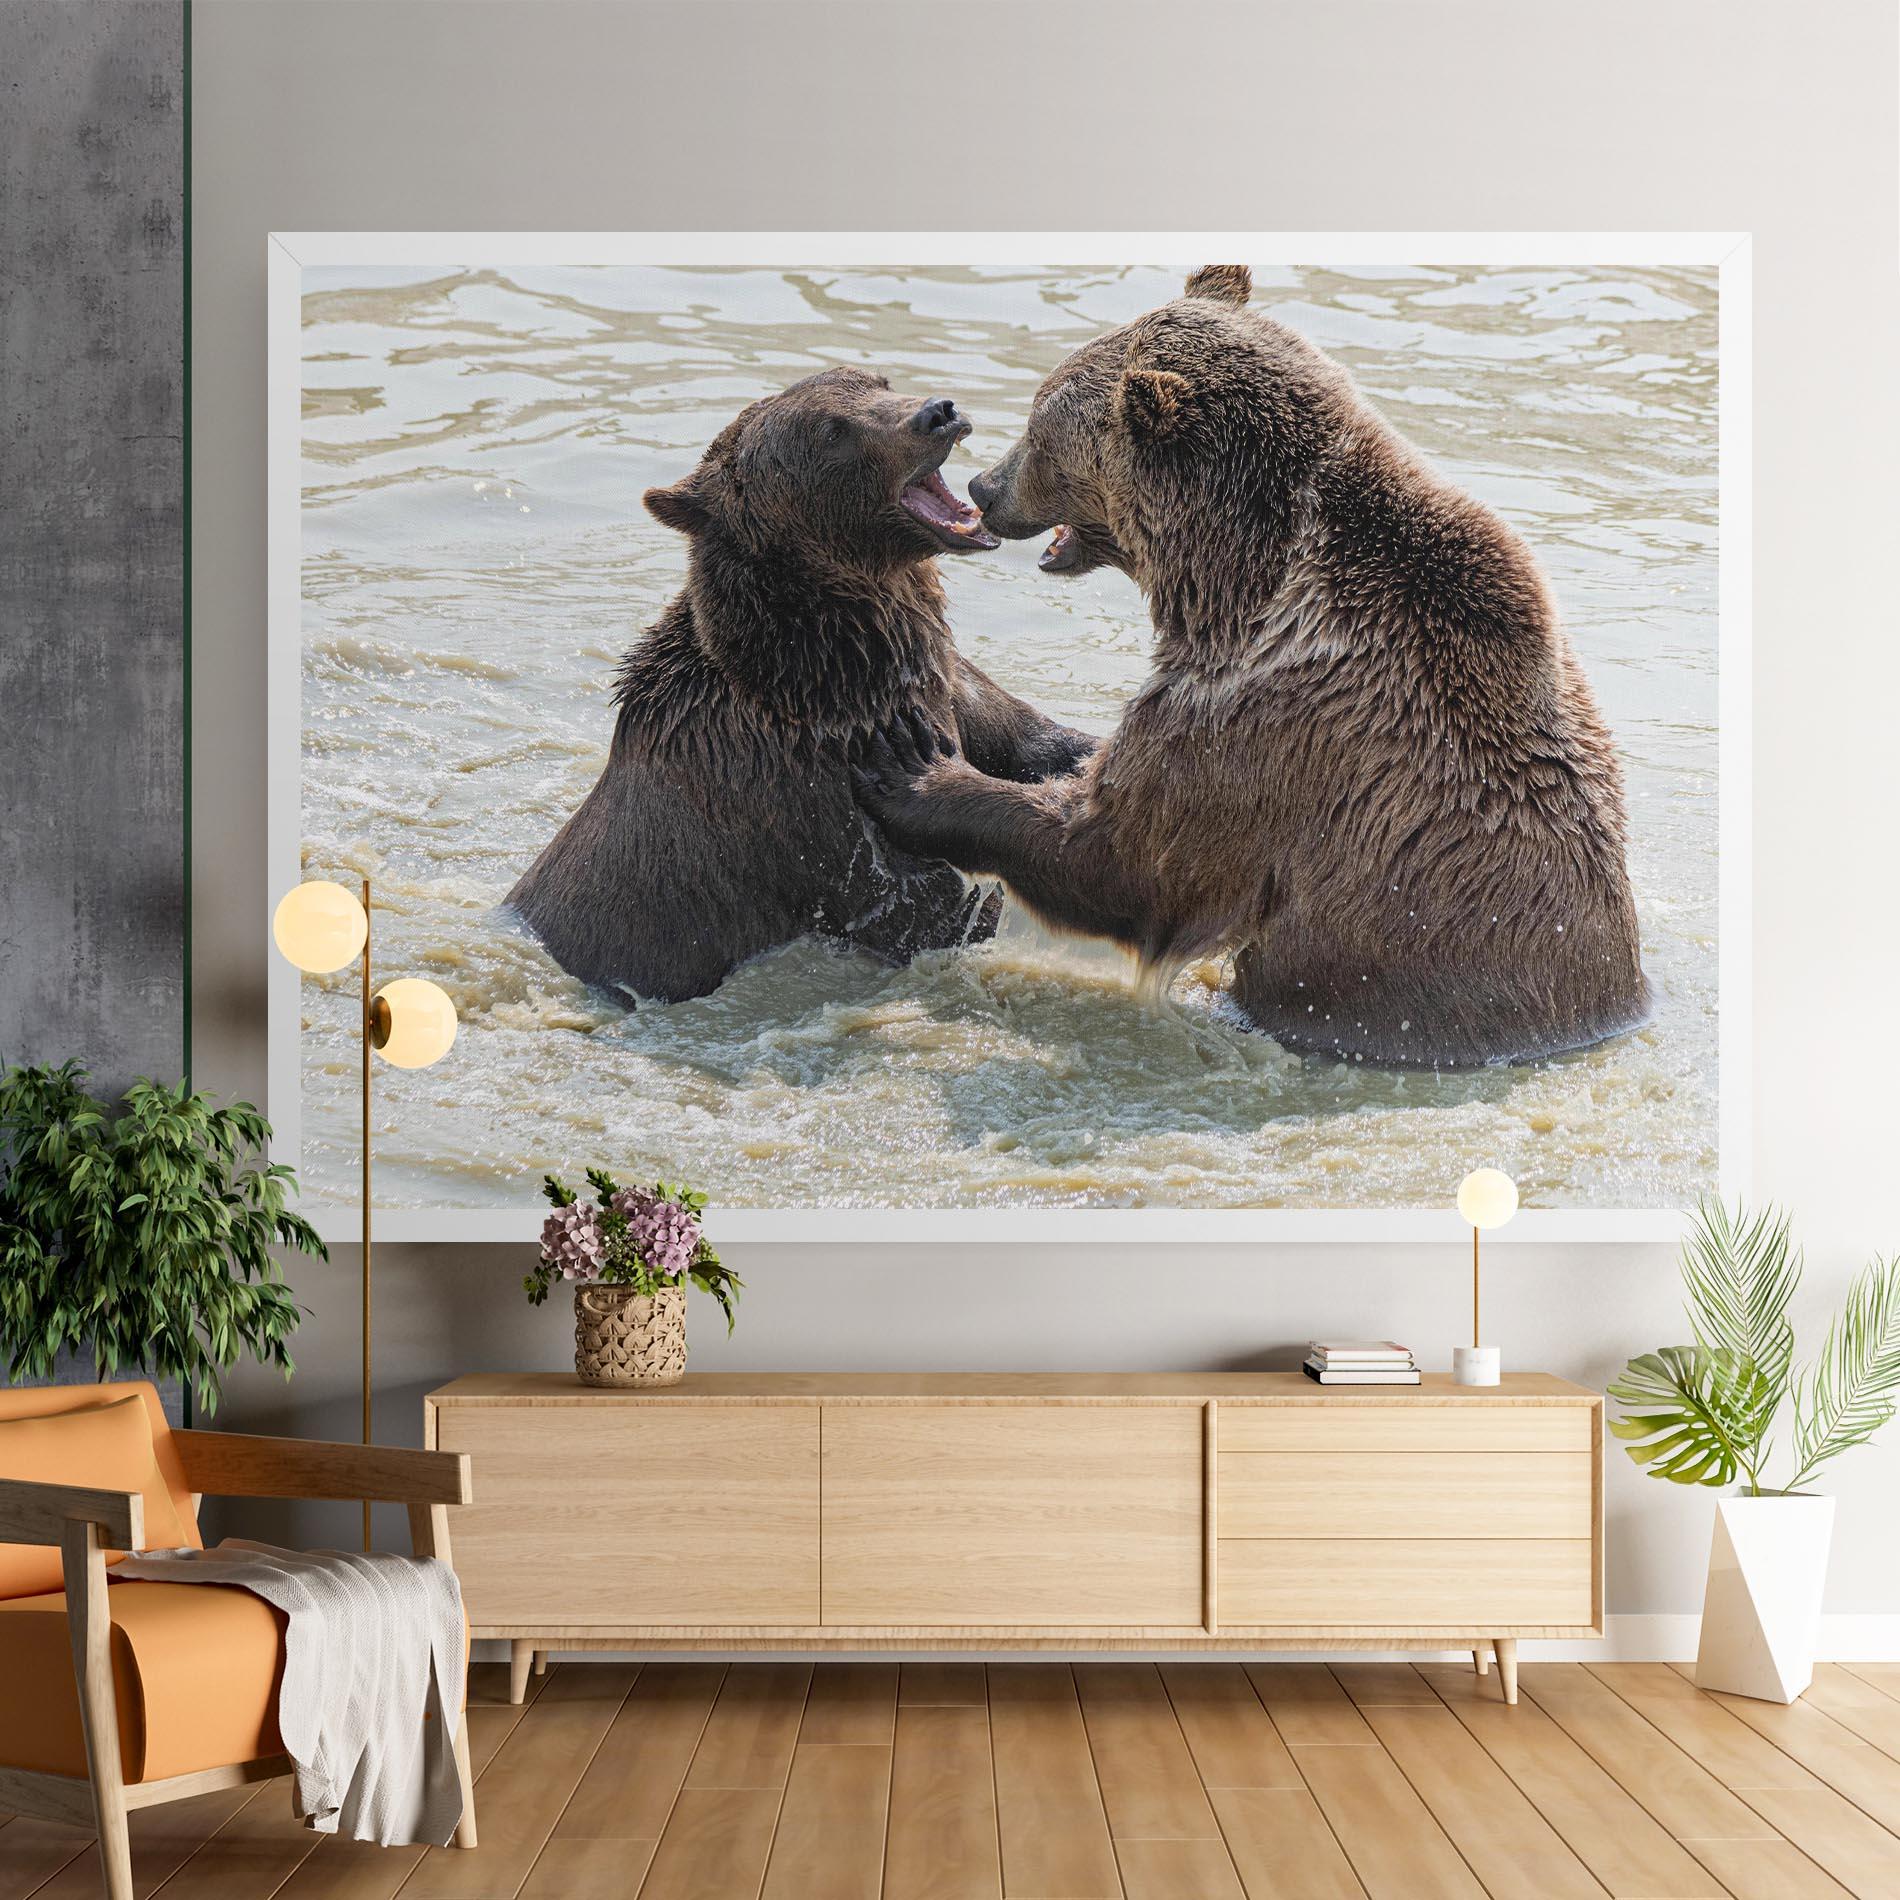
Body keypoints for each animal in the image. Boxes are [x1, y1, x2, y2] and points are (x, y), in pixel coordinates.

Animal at [506, 366, 1094, 1004]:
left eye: (877, 381)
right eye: (832, 432)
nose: (938, 412)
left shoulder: (948, 684)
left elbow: (1038, 742)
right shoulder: (805, 800)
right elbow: (923, 906)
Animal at [853, 266, 1649, 1069]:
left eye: (1041, 430)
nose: (986, 487)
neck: (1234, 582)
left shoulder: (1264, 720)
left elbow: (1124, 856)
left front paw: (916, 772)